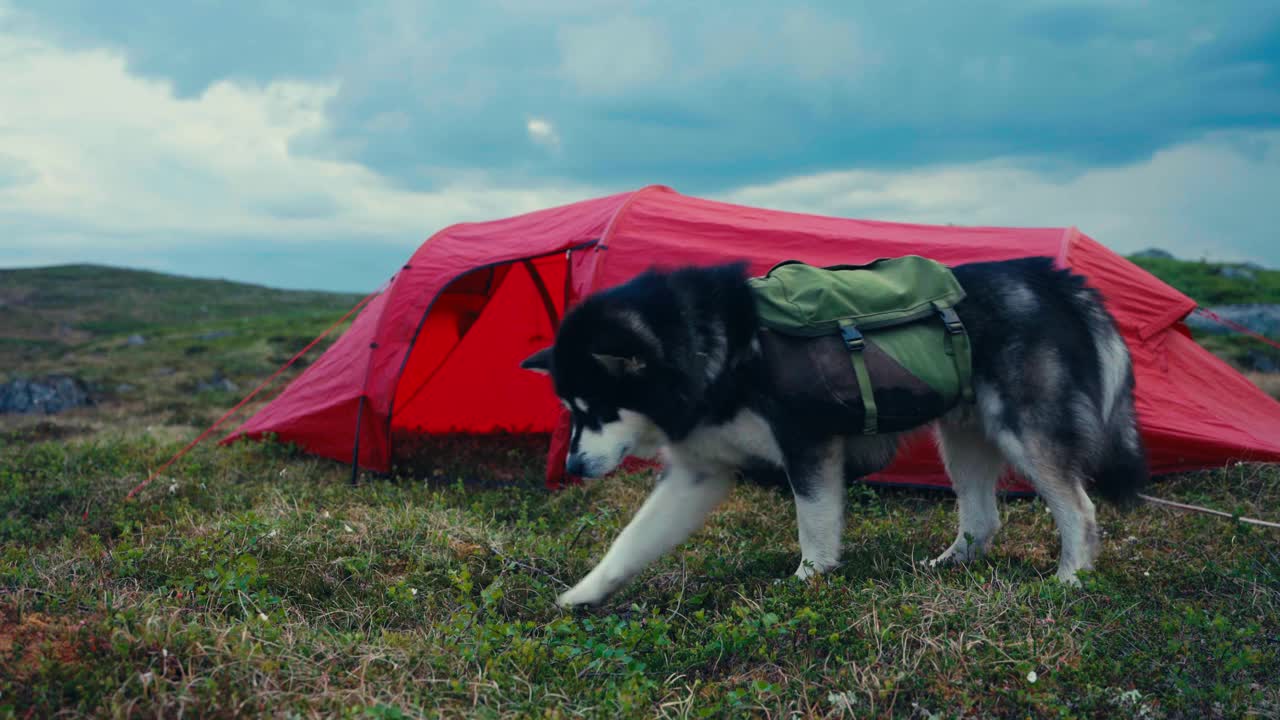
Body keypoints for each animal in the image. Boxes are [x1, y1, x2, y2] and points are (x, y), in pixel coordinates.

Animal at [519, 257, 1152, 604]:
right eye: (570, 409)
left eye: (598, 409)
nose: (573, 466)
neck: (718, 350)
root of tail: (1049, 277)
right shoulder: (697, 474)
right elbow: (630, 542)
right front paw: (585, 593)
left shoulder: (809, 447)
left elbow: (815, 526)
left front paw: (809, 579)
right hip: (963, 438)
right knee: (983, 518)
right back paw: (951, 565)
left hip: (1025, 433)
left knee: (1079, 509)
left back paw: (1071, 580)